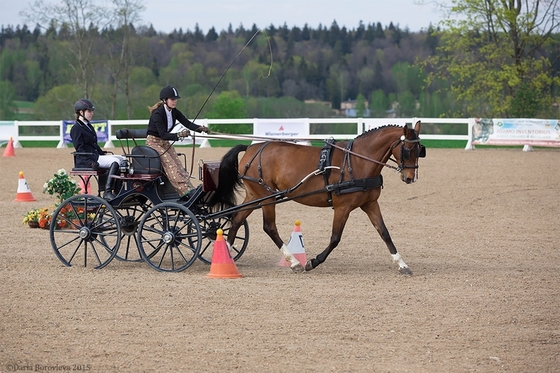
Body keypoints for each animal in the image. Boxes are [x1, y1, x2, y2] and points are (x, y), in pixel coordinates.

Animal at [212, 121, 426, 274]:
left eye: (420, 150)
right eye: (407, 150)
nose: (410, 178)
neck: (357, 161)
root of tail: (250, 149)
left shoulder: (370, 203)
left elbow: (384, 233)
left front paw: (402, 264)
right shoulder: (342, 207)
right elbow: (335, 238)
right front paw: (313, 262)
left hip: (254, 195)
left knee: (237, 219)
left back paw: (226, 255)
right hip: (266, 197)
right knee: (269, 227)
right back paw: (294, 262)